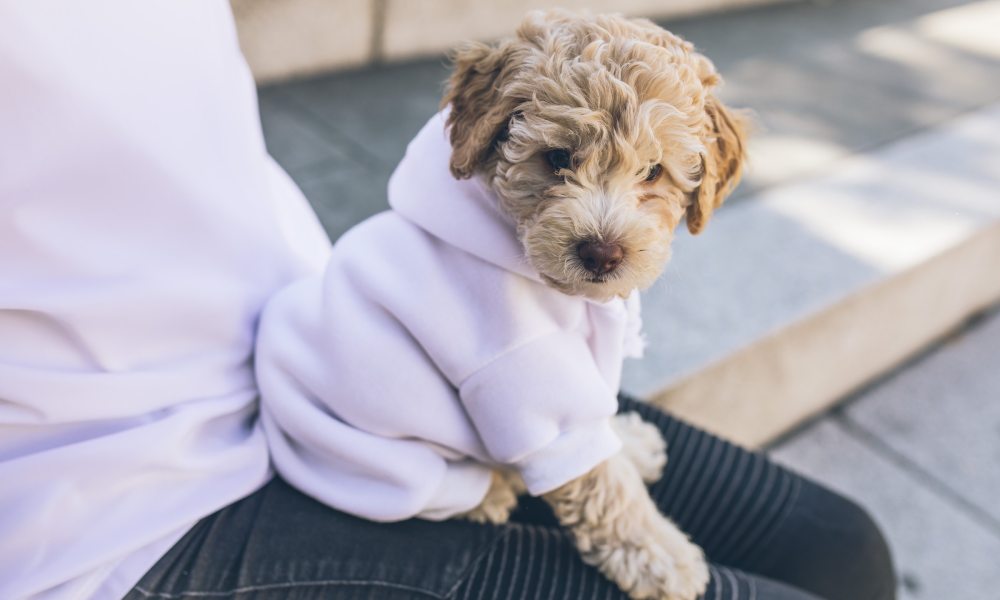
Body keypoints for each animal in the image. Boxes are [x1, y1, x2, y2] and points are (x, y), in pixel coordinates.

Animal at [450, 9, 748, 600]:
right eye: (558, 158)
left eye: (653, 171)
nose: (602, 251)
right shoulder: (529, 387)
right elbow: (601, 483)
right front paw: (663, 555)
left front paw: (629, 441)